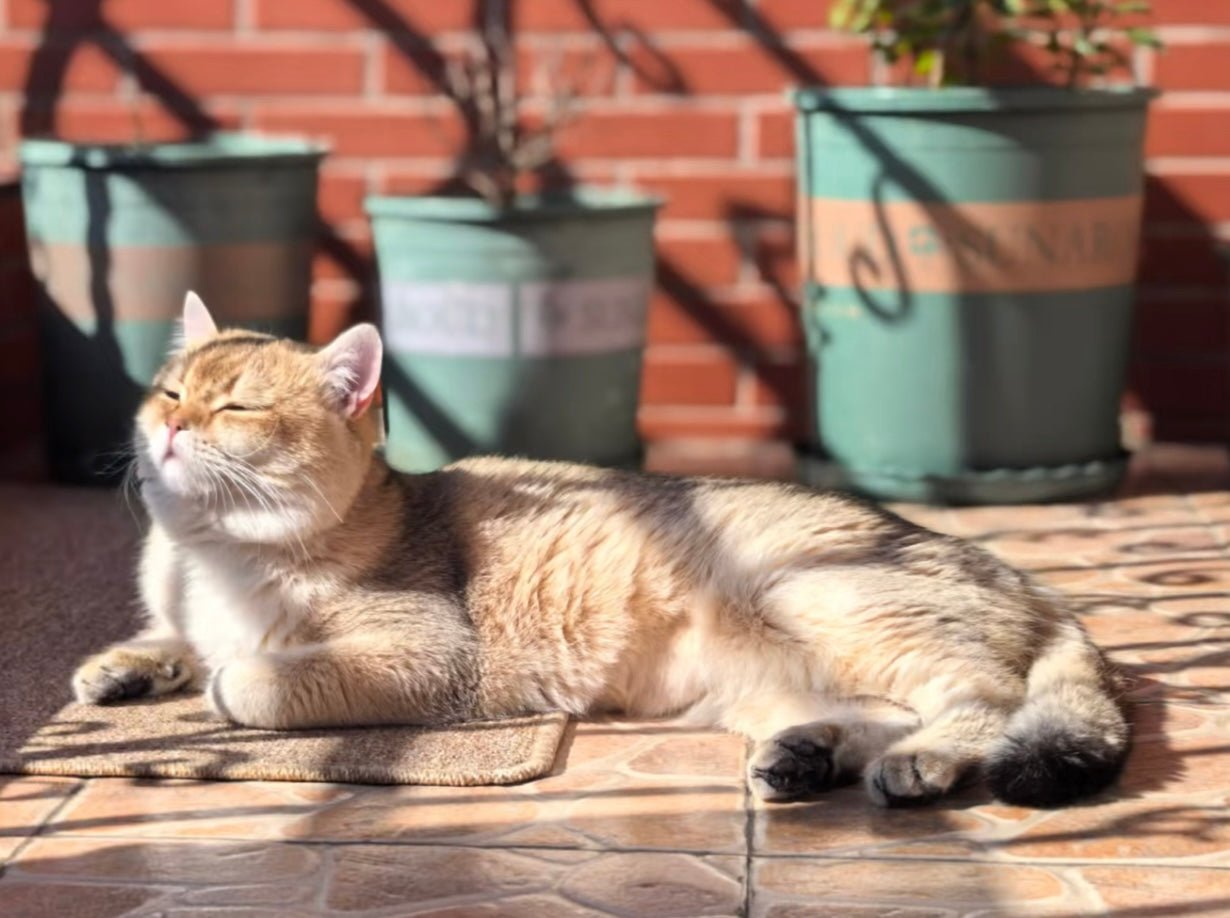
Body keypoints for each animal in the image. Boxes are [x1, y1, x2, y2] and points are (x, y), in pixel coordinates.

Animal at [74, 289, 1131, 802]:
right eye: (170, 391)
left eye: (238, 407)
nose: (172, 429)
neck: (215, 551)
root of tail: (1039, 589)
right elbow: (174, 638)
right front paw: (125, 667)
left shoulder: (431, 658)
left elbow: (254, 681)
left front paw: (221, 678)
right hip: (761, 683)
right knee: (879, 710)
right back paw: (808, 758)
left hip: (817, 598)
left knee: (983, 700)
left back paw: (922, 765)